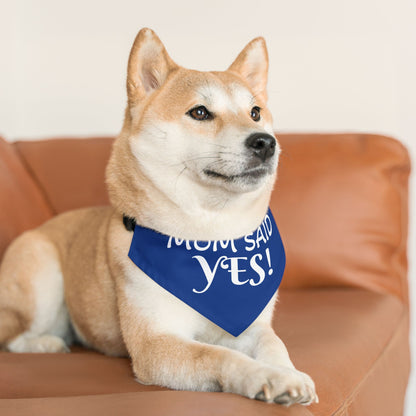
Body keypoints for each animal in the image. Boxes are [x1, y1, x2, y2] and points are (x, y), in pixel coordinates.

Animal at [0, 28, 316, 406]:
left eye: (255, 112)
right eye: (200, 112)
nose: (266, 142)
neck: (210, 235)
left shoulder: (252, 324)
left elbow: (273, 344)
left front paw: (289, 372)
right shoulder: (155, 343)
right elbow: (220, 355)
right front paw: (267, 377)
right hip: (41, 273)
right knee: (14, 336)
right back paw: (46, 343)